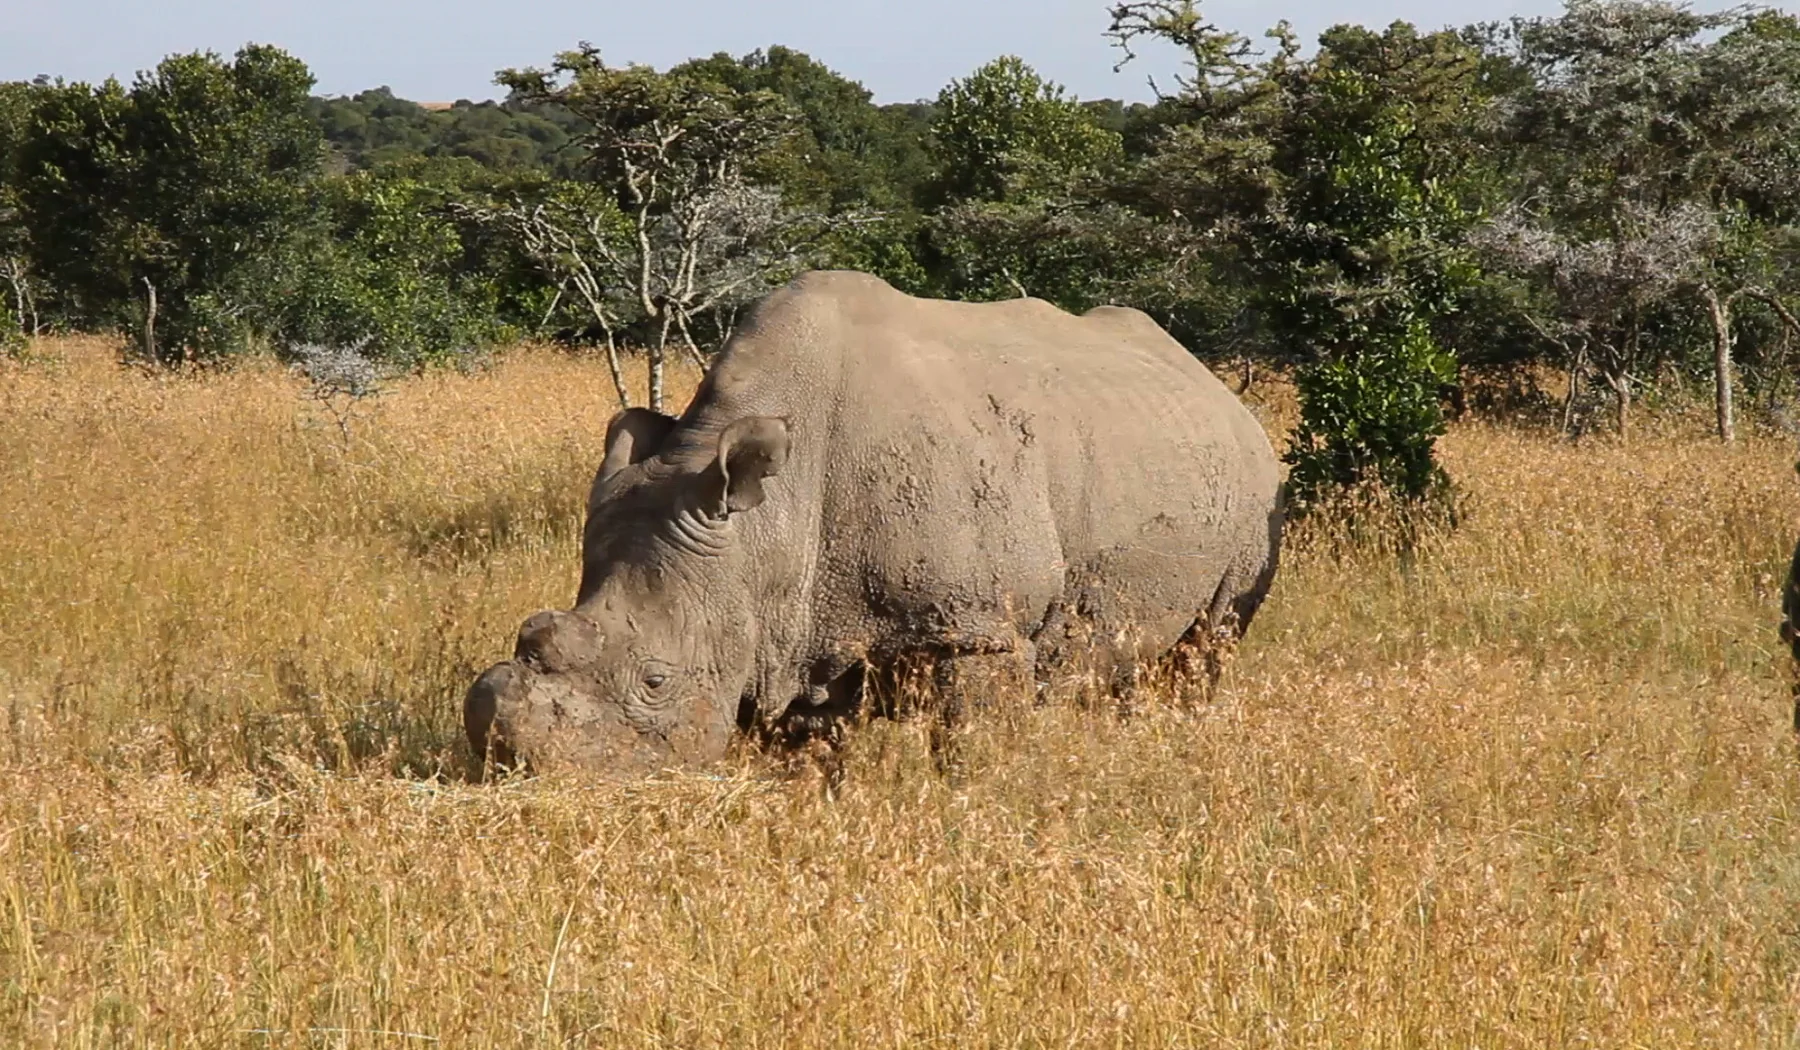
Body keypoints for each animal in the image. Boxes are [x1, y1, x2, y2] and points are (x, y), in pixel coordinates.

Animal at [463, 270, 1284, 776]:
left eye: (657, 681)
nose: (525, 775)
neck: (771, 525)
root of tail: (1213, 383)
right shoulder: (790, 629)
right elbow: (815, 762)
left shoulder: (980, 626)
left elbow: (970, 750)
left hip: (1256, 484)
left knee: (1208, 641)